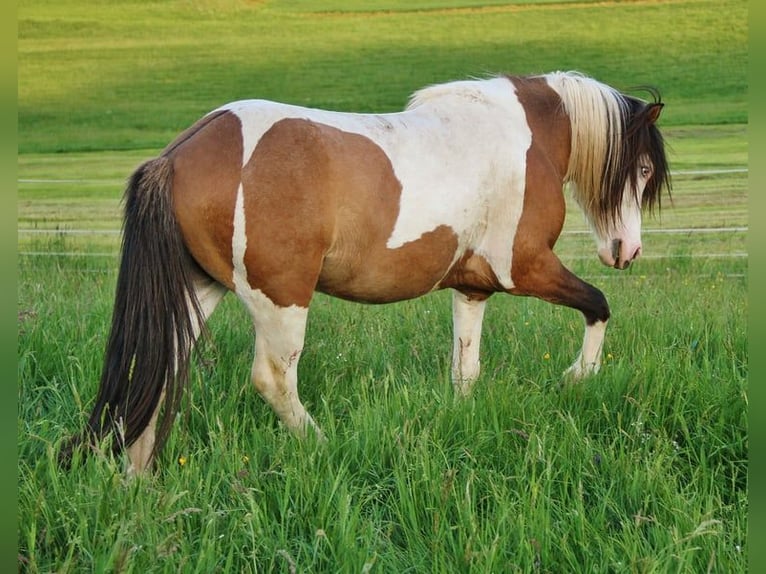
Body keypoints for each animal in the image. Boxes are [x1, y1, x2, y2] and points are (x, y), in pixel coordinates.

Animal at [62, 71, 670, 474]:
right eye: (641, 169)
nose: (627, 251)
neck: (524, 135)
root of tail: (180, 153)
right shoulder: (525, 268)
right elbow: (597, 305)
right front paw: (578, 377)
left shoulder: (473, 288)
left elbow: (466, 371)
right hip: (282, 298)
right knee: (272, 379)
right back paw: (323, 447)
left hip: (198, 291)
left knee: (160, 371)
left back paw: (139, 477)